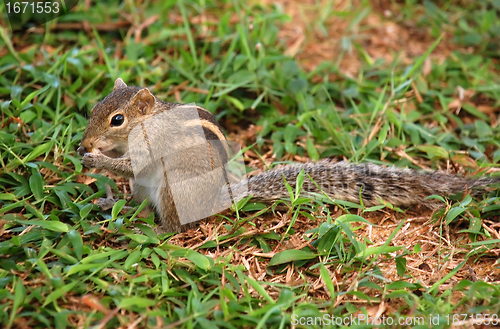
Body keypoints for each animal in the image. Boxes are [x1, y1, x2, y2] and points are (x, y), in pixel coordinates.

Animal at [78, 79, 500, 233]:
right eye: (95, 107)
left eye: (117, 119)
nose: (85, 141)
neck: (147, 123)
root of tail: (218, 199)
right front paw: (88, 155)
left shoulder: (153, 146)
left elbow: (130, 162)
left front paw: (97, 160)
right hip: (145, 189)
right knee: (138, 200)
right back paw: (112, 204)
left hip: (170, 191)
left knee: (173, 227)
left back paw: (148, 230)